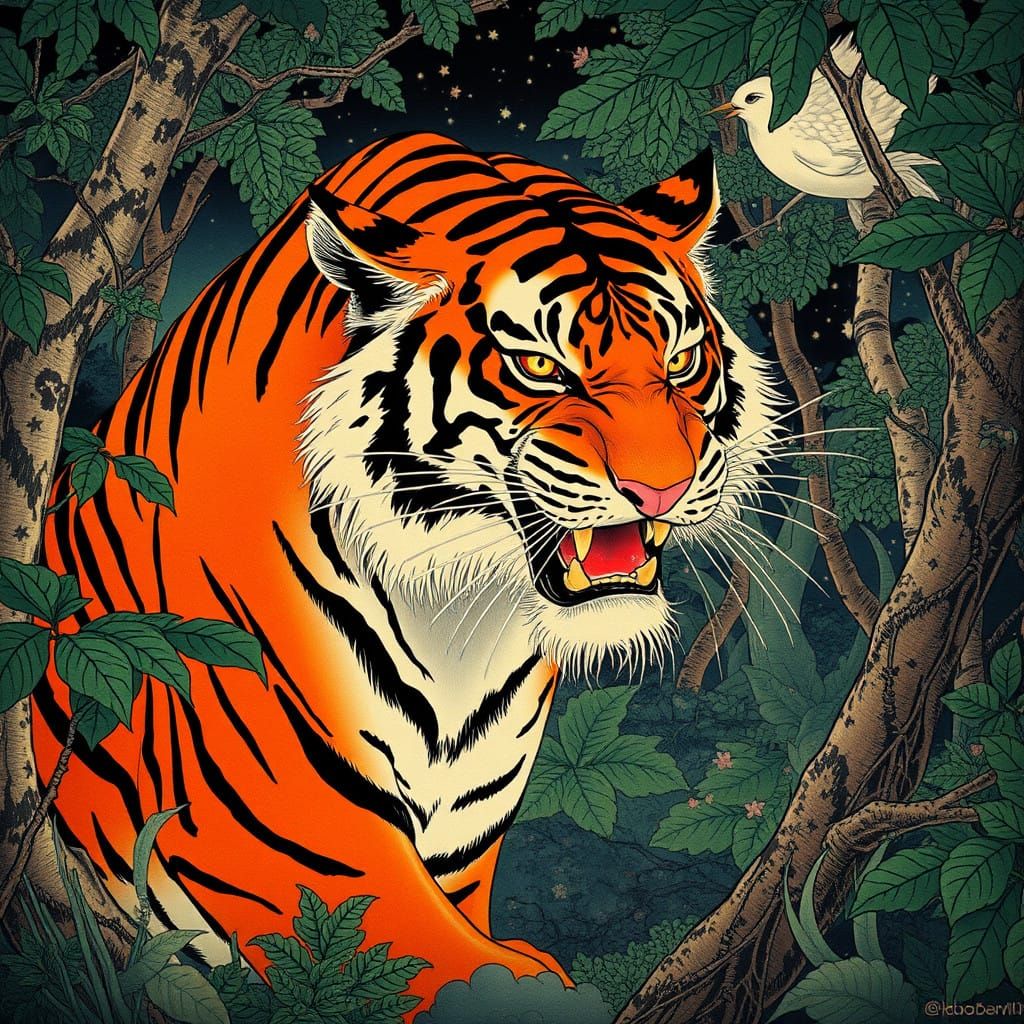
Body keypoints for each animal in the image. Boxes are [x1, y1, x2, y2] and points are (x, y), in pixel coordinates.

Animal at [33, 132, 779, 1011]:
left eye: (683, 358)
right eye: (539, 366)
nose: (662, 485)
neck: (462, 617)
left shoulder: (462, 839)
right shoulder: (302, 836)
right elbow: (446, 965)